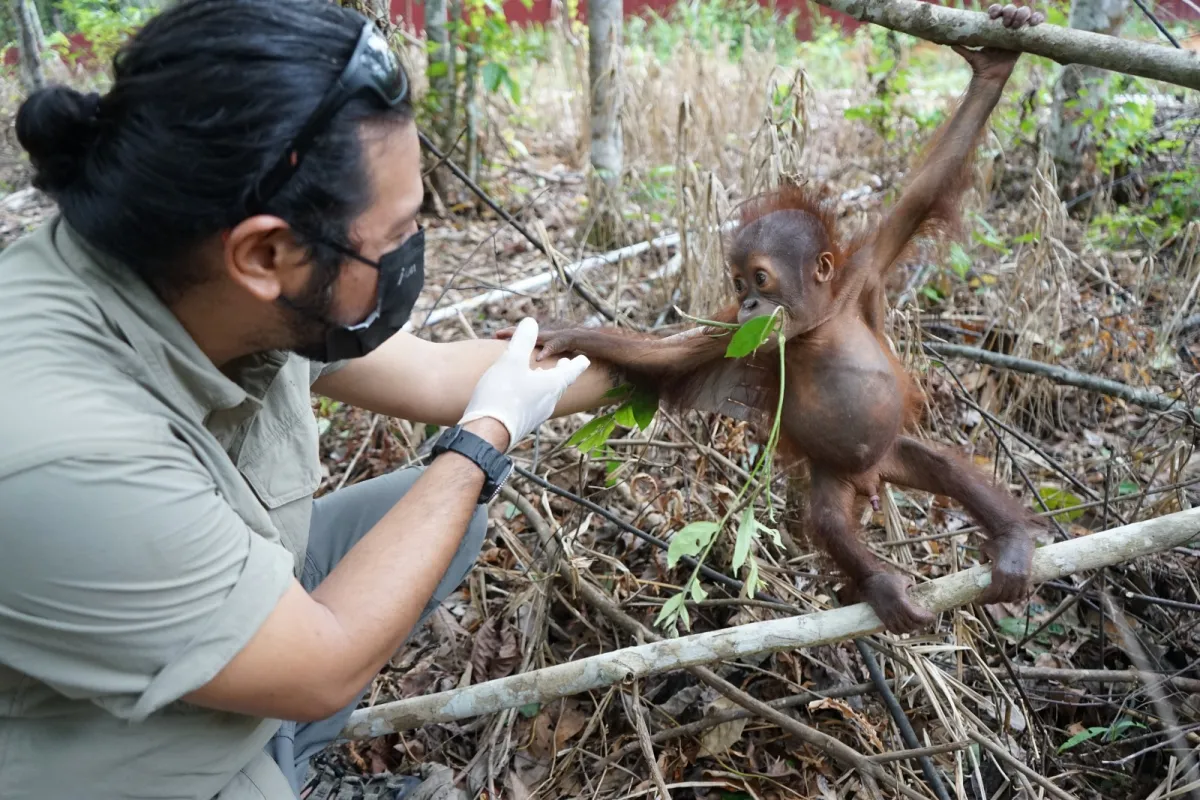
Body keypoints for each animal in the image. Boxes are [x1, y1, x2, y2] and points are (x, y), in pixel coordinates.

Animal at [497, 24, 1048, 634]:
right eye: (737, 284)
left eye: (759, 277)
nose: (750, 303)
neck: (818, 325)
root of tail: (873, 476)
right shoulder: (736, 336)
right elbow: (667, 359)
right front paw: (569, 335)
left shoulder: (864, 271)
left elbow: (924, 190)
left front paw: (993, 66)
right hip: (835, 476)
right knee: (828, 520)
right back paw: (883, 585)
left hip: (893, 450)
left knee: (946, 466)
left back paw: (1011, 541)